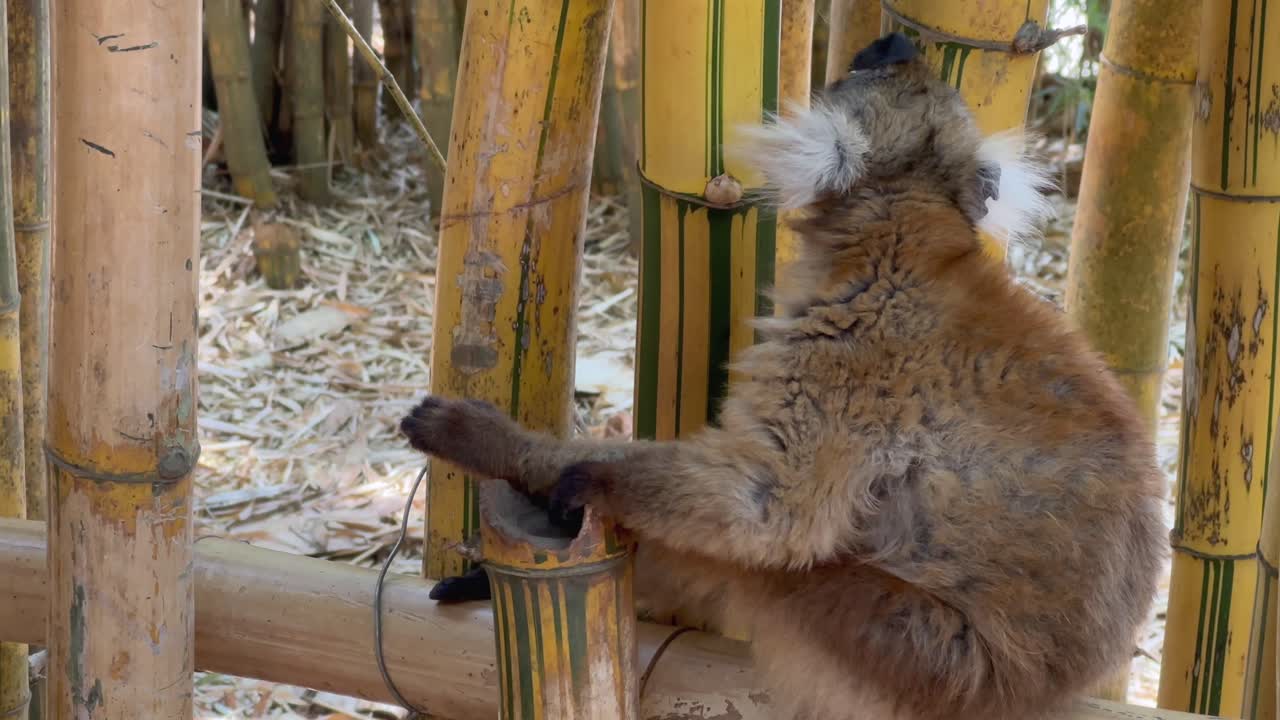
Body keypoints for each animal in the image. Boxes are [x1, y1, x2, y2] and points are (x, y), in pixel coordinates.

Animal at [400, 32, 1166, 720]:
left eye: (864, 71)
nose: (892, 41)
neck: (905, 217)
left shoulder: (852, 363)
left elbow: (765, 513)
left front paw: (497, 443)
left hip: (916, 650)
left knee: (765, 569)